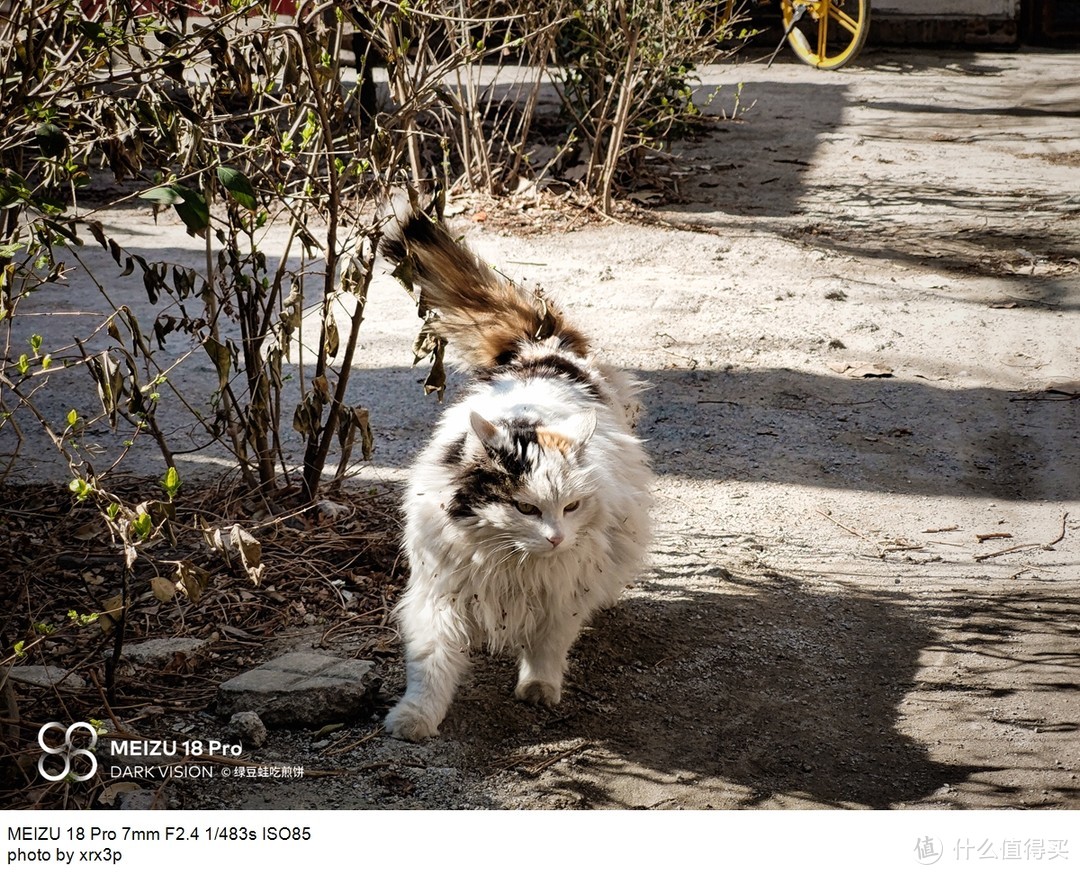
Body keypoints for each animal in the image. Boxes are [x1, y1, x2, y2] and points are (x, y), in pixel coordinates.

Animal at [380, 211, 648, 734]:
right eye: (525, 508)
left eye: (571, 507)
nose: (556, 539)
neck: (511, 563)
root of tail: (542, 349)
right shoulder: (440, 595)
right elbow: (431, 664)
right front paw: (415, 719)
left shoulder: (561, 595)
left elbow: (548, 647)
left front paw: (539, 688)